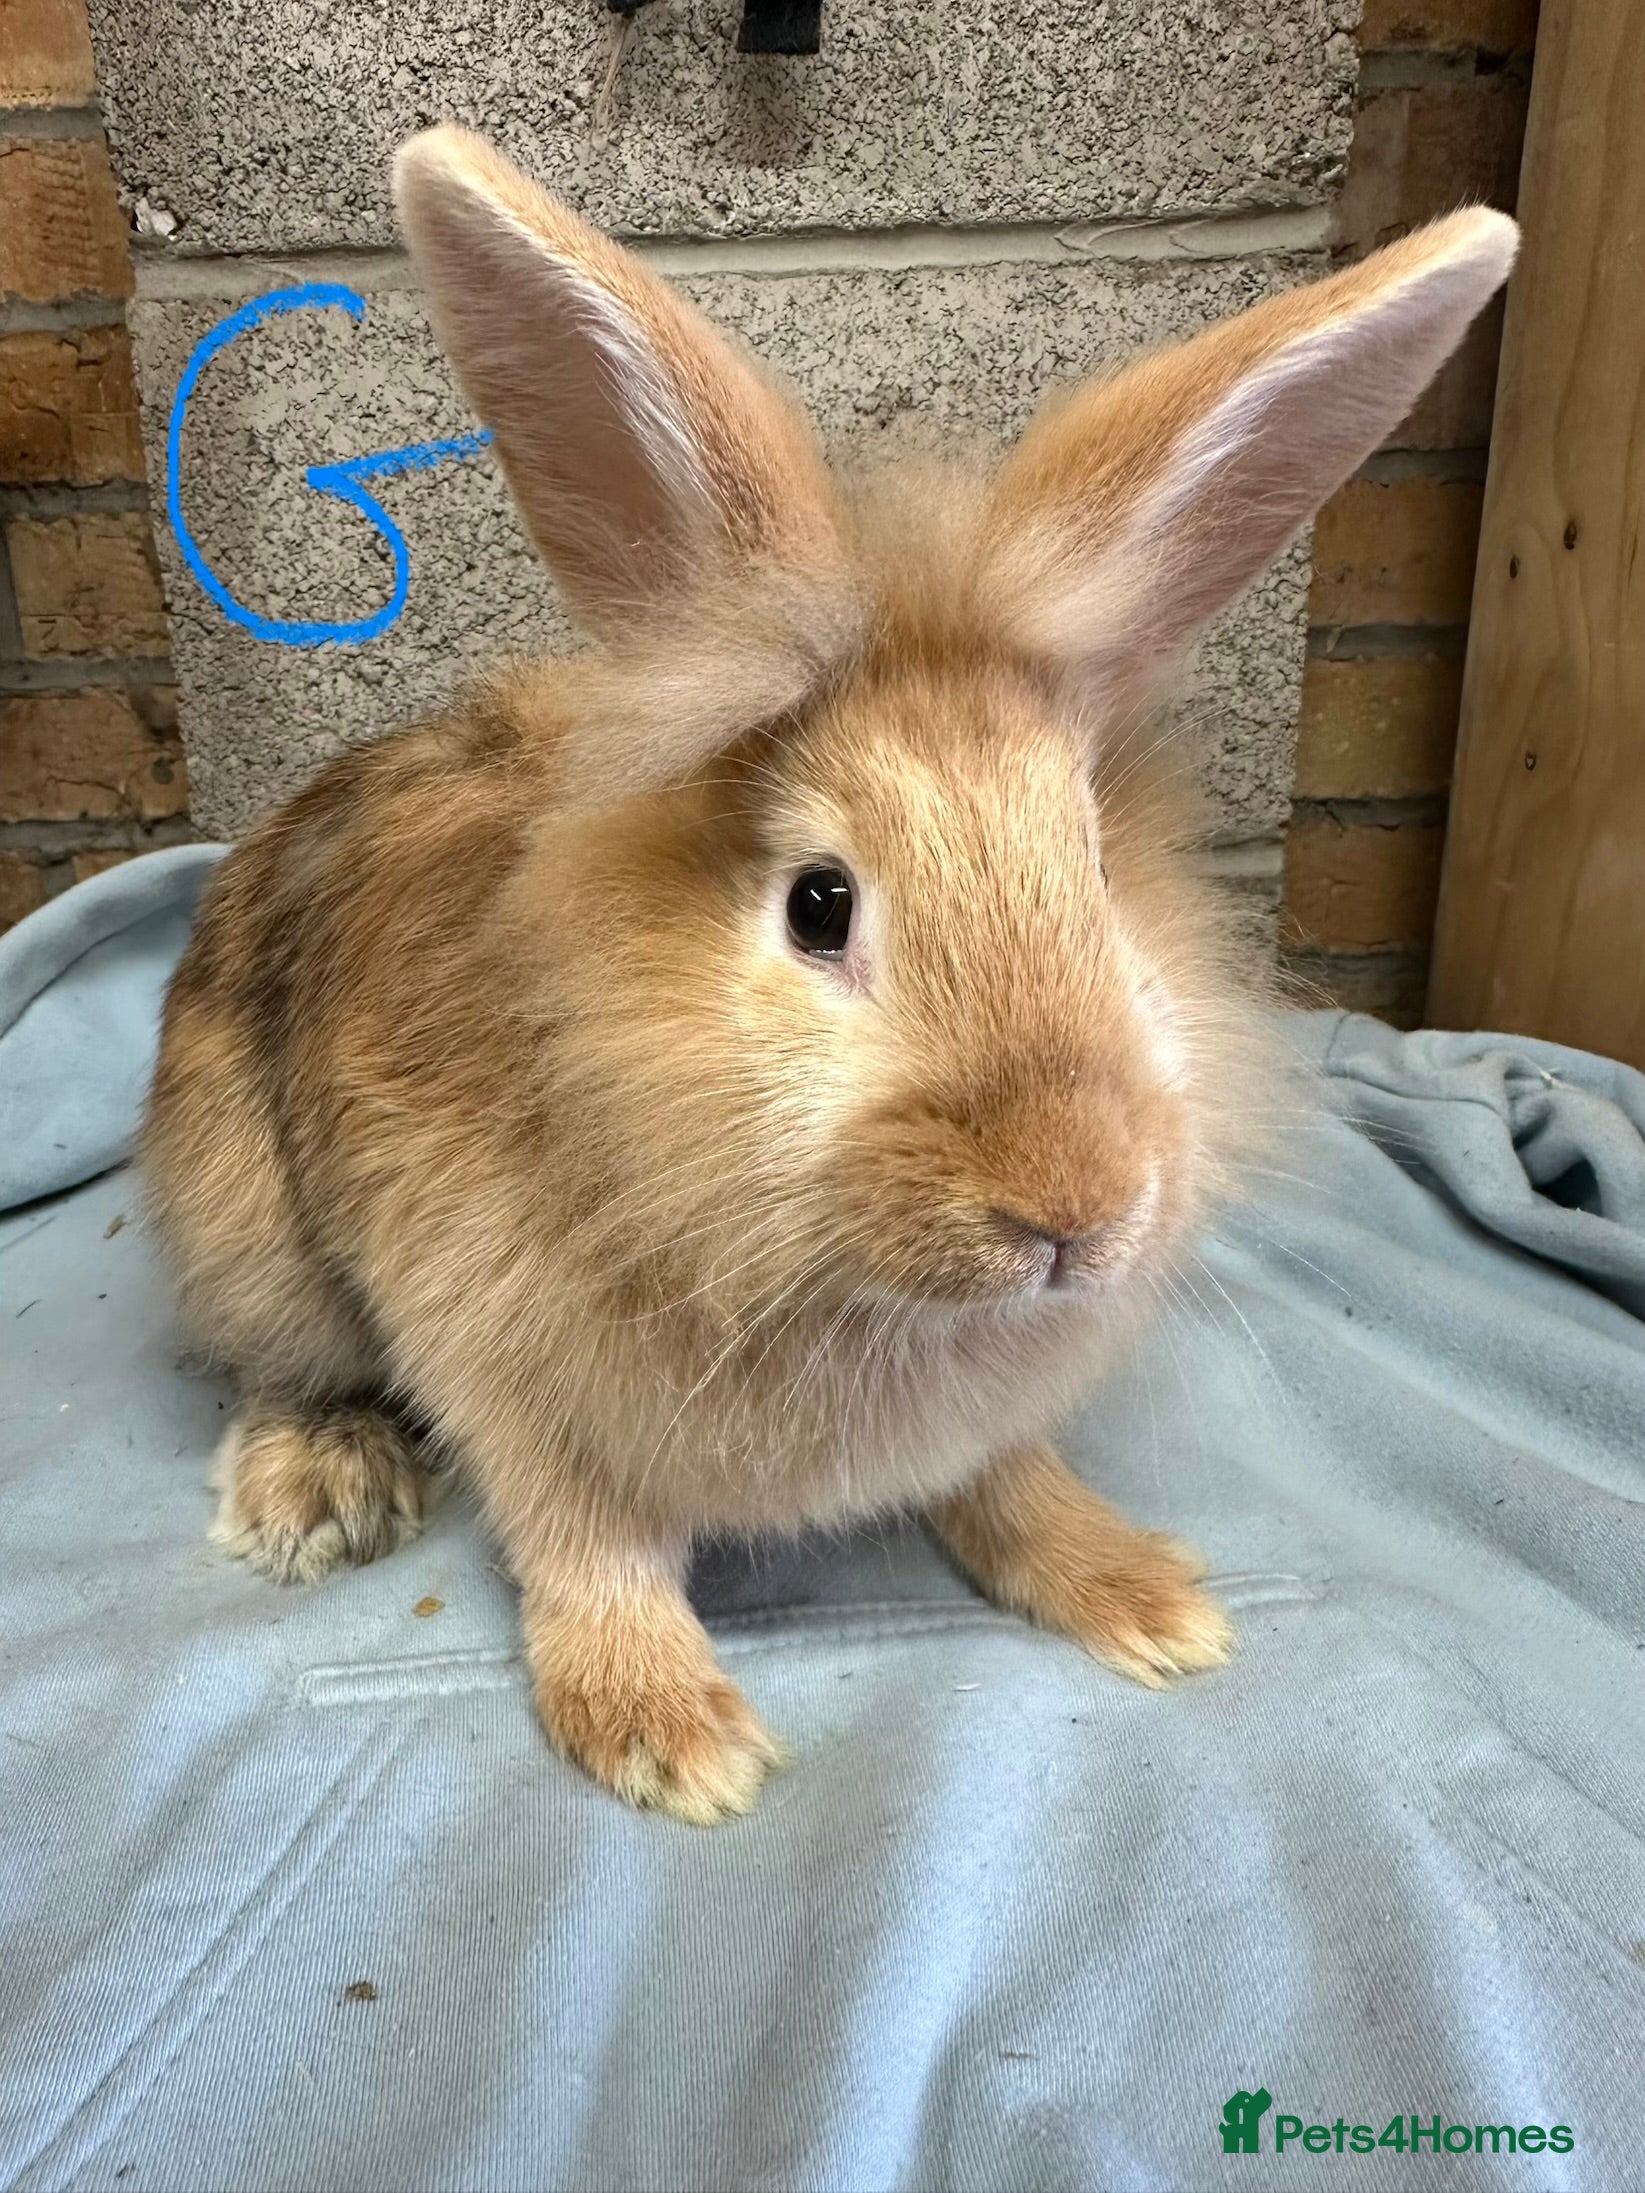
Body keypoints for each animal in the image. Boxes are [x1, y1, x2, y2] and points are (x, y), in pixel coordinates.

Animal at [142, 124, 1516, 1822]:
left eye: (1098, 873)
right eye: (817, 905)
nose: (1071, 1205)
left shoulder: (987, 1423)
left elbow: (1009, 1485)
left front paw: (1140, 1596)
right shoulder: (505, 1371)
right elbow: (583, 1549)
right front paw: (670, 1736)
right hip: (251, 1223)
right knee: (268, 1360)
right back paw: (314, 1485)